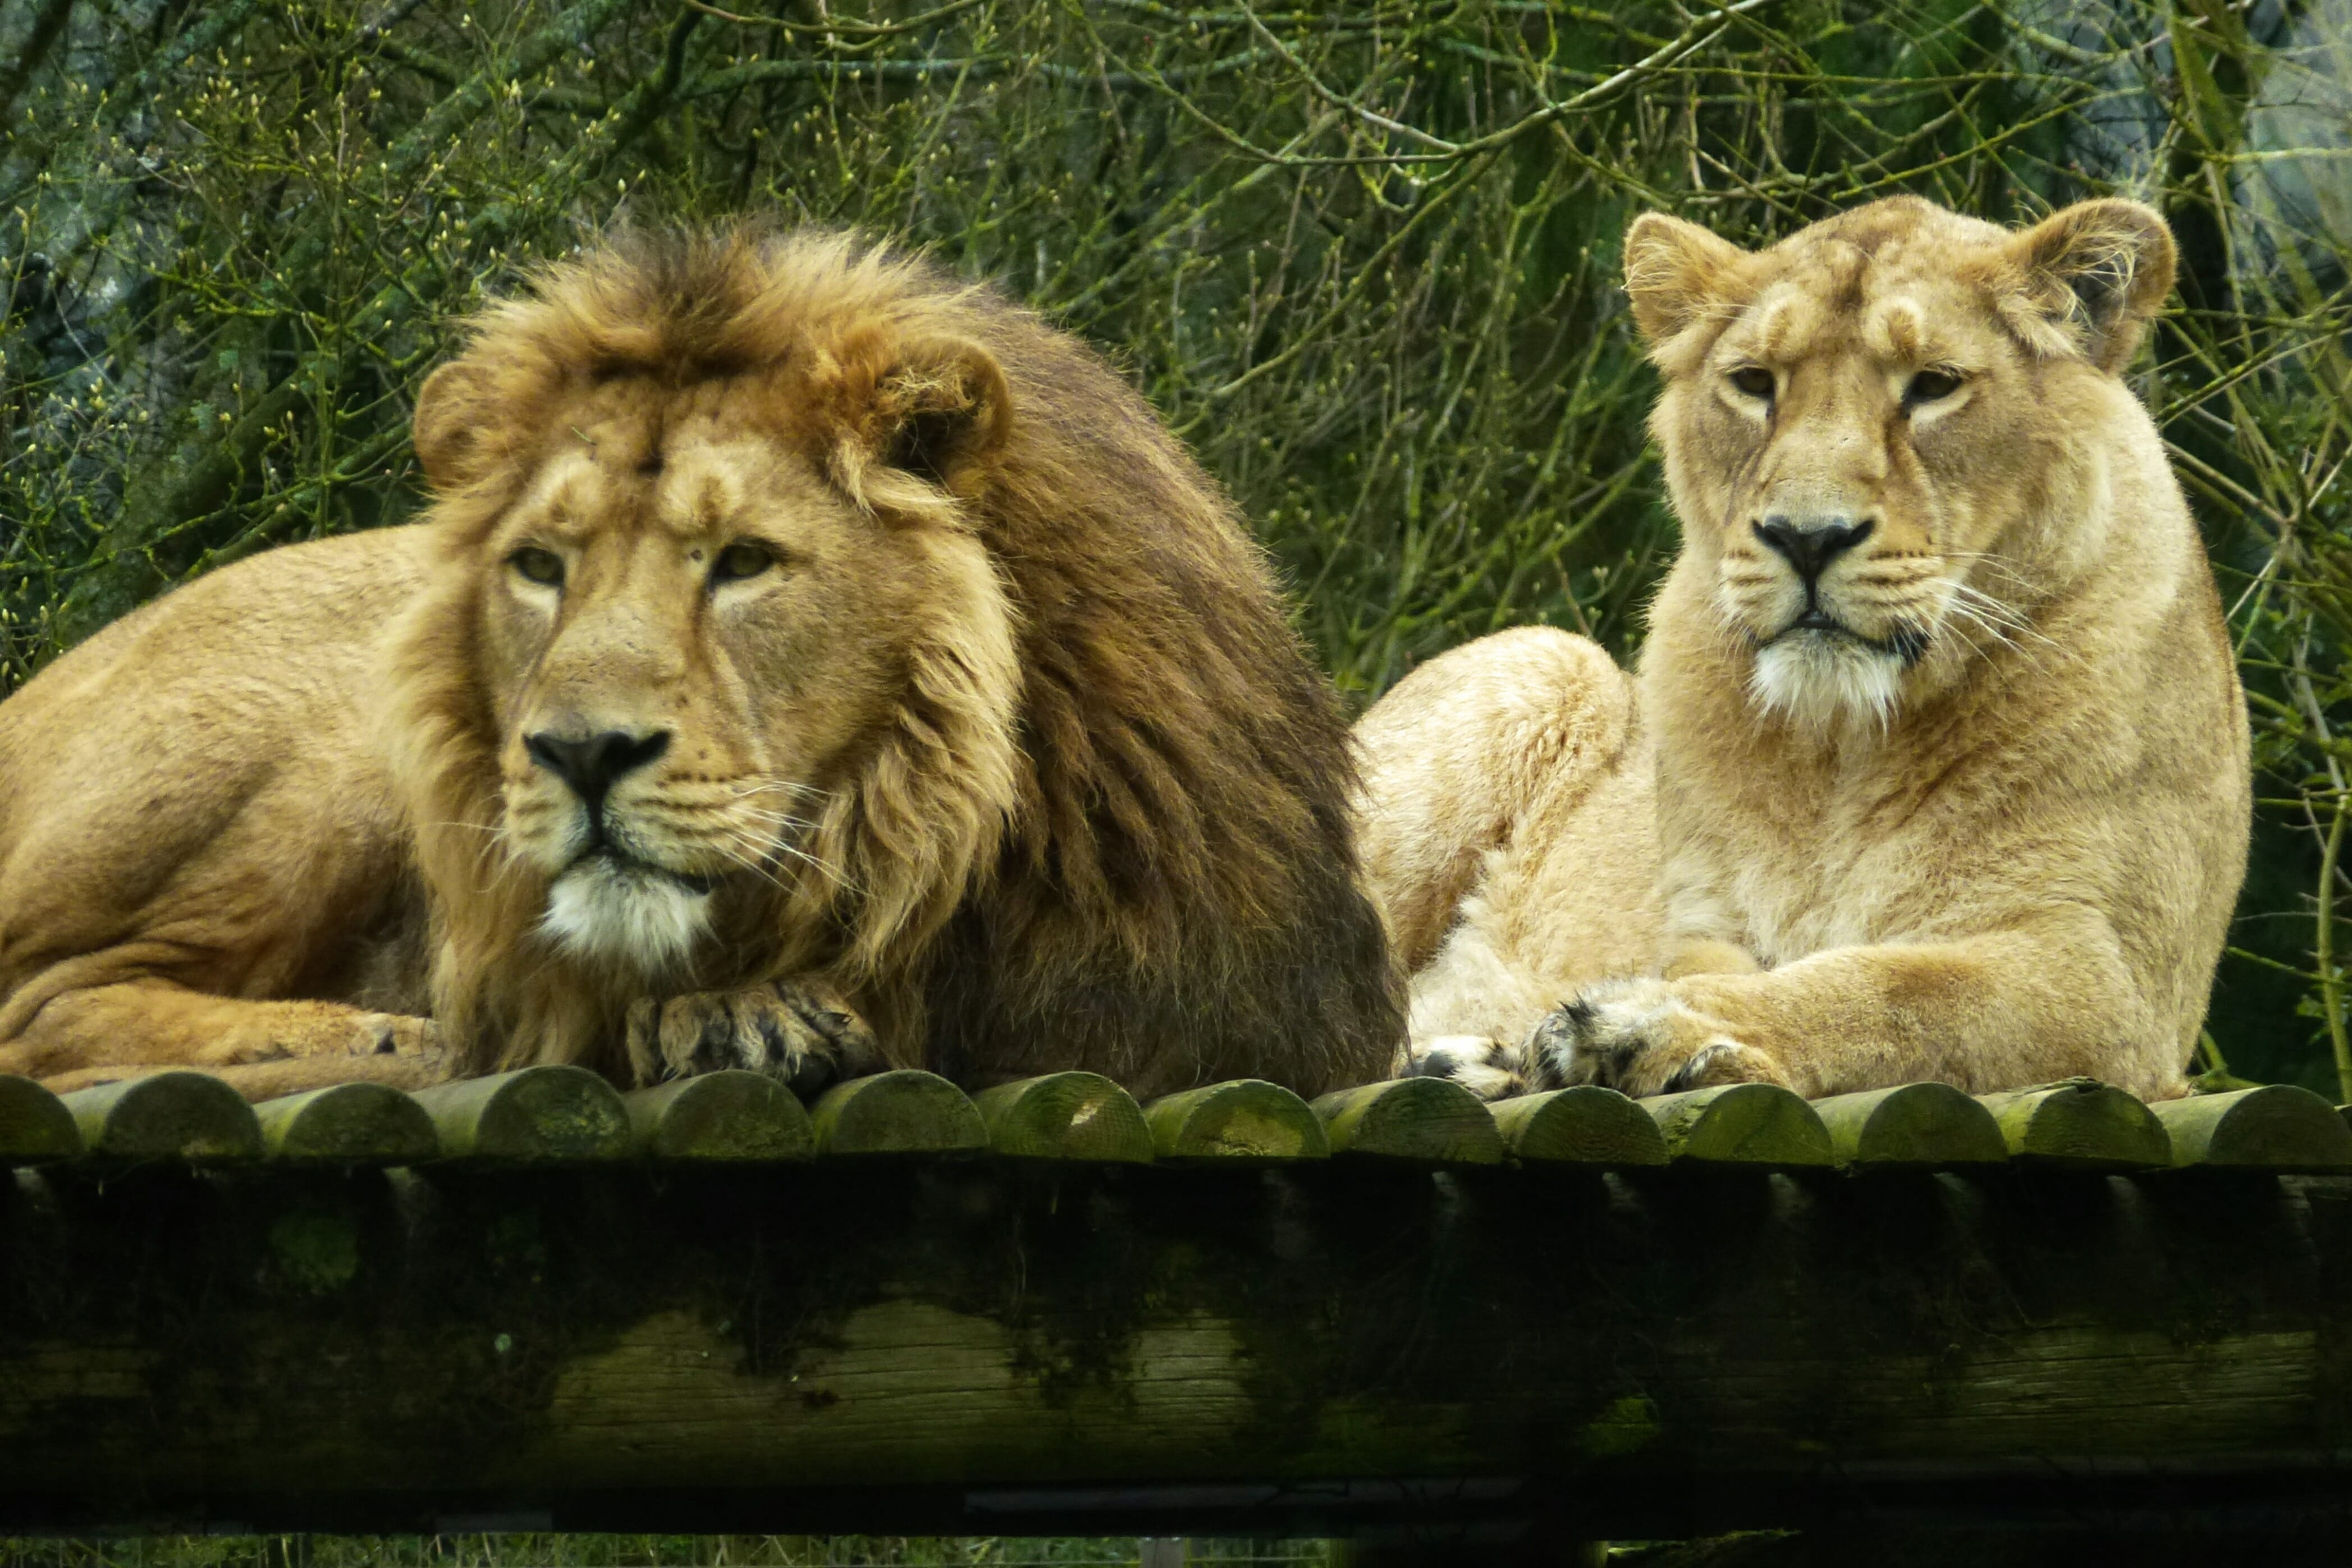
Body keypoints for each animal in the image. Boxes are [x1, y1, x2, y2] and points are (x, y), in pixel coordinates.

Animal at [0, 227, 1403, 1102]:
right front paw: (731, 1015)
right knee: (46, 1009)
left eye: (742, 561)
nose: (581, 753)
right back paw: (381, 1032)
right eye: (541, 565)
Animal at [1358, 196, 2250, 1104]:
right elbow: (1762, 972)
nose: (1806, 536)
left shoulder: (2116, 983)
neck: (1839, 754)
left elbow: (1898, 988)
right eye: (1754, 382)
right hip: (1547, 661)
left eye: (1933, 384)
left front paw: (1648, 1025)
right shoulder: (1702, 914)